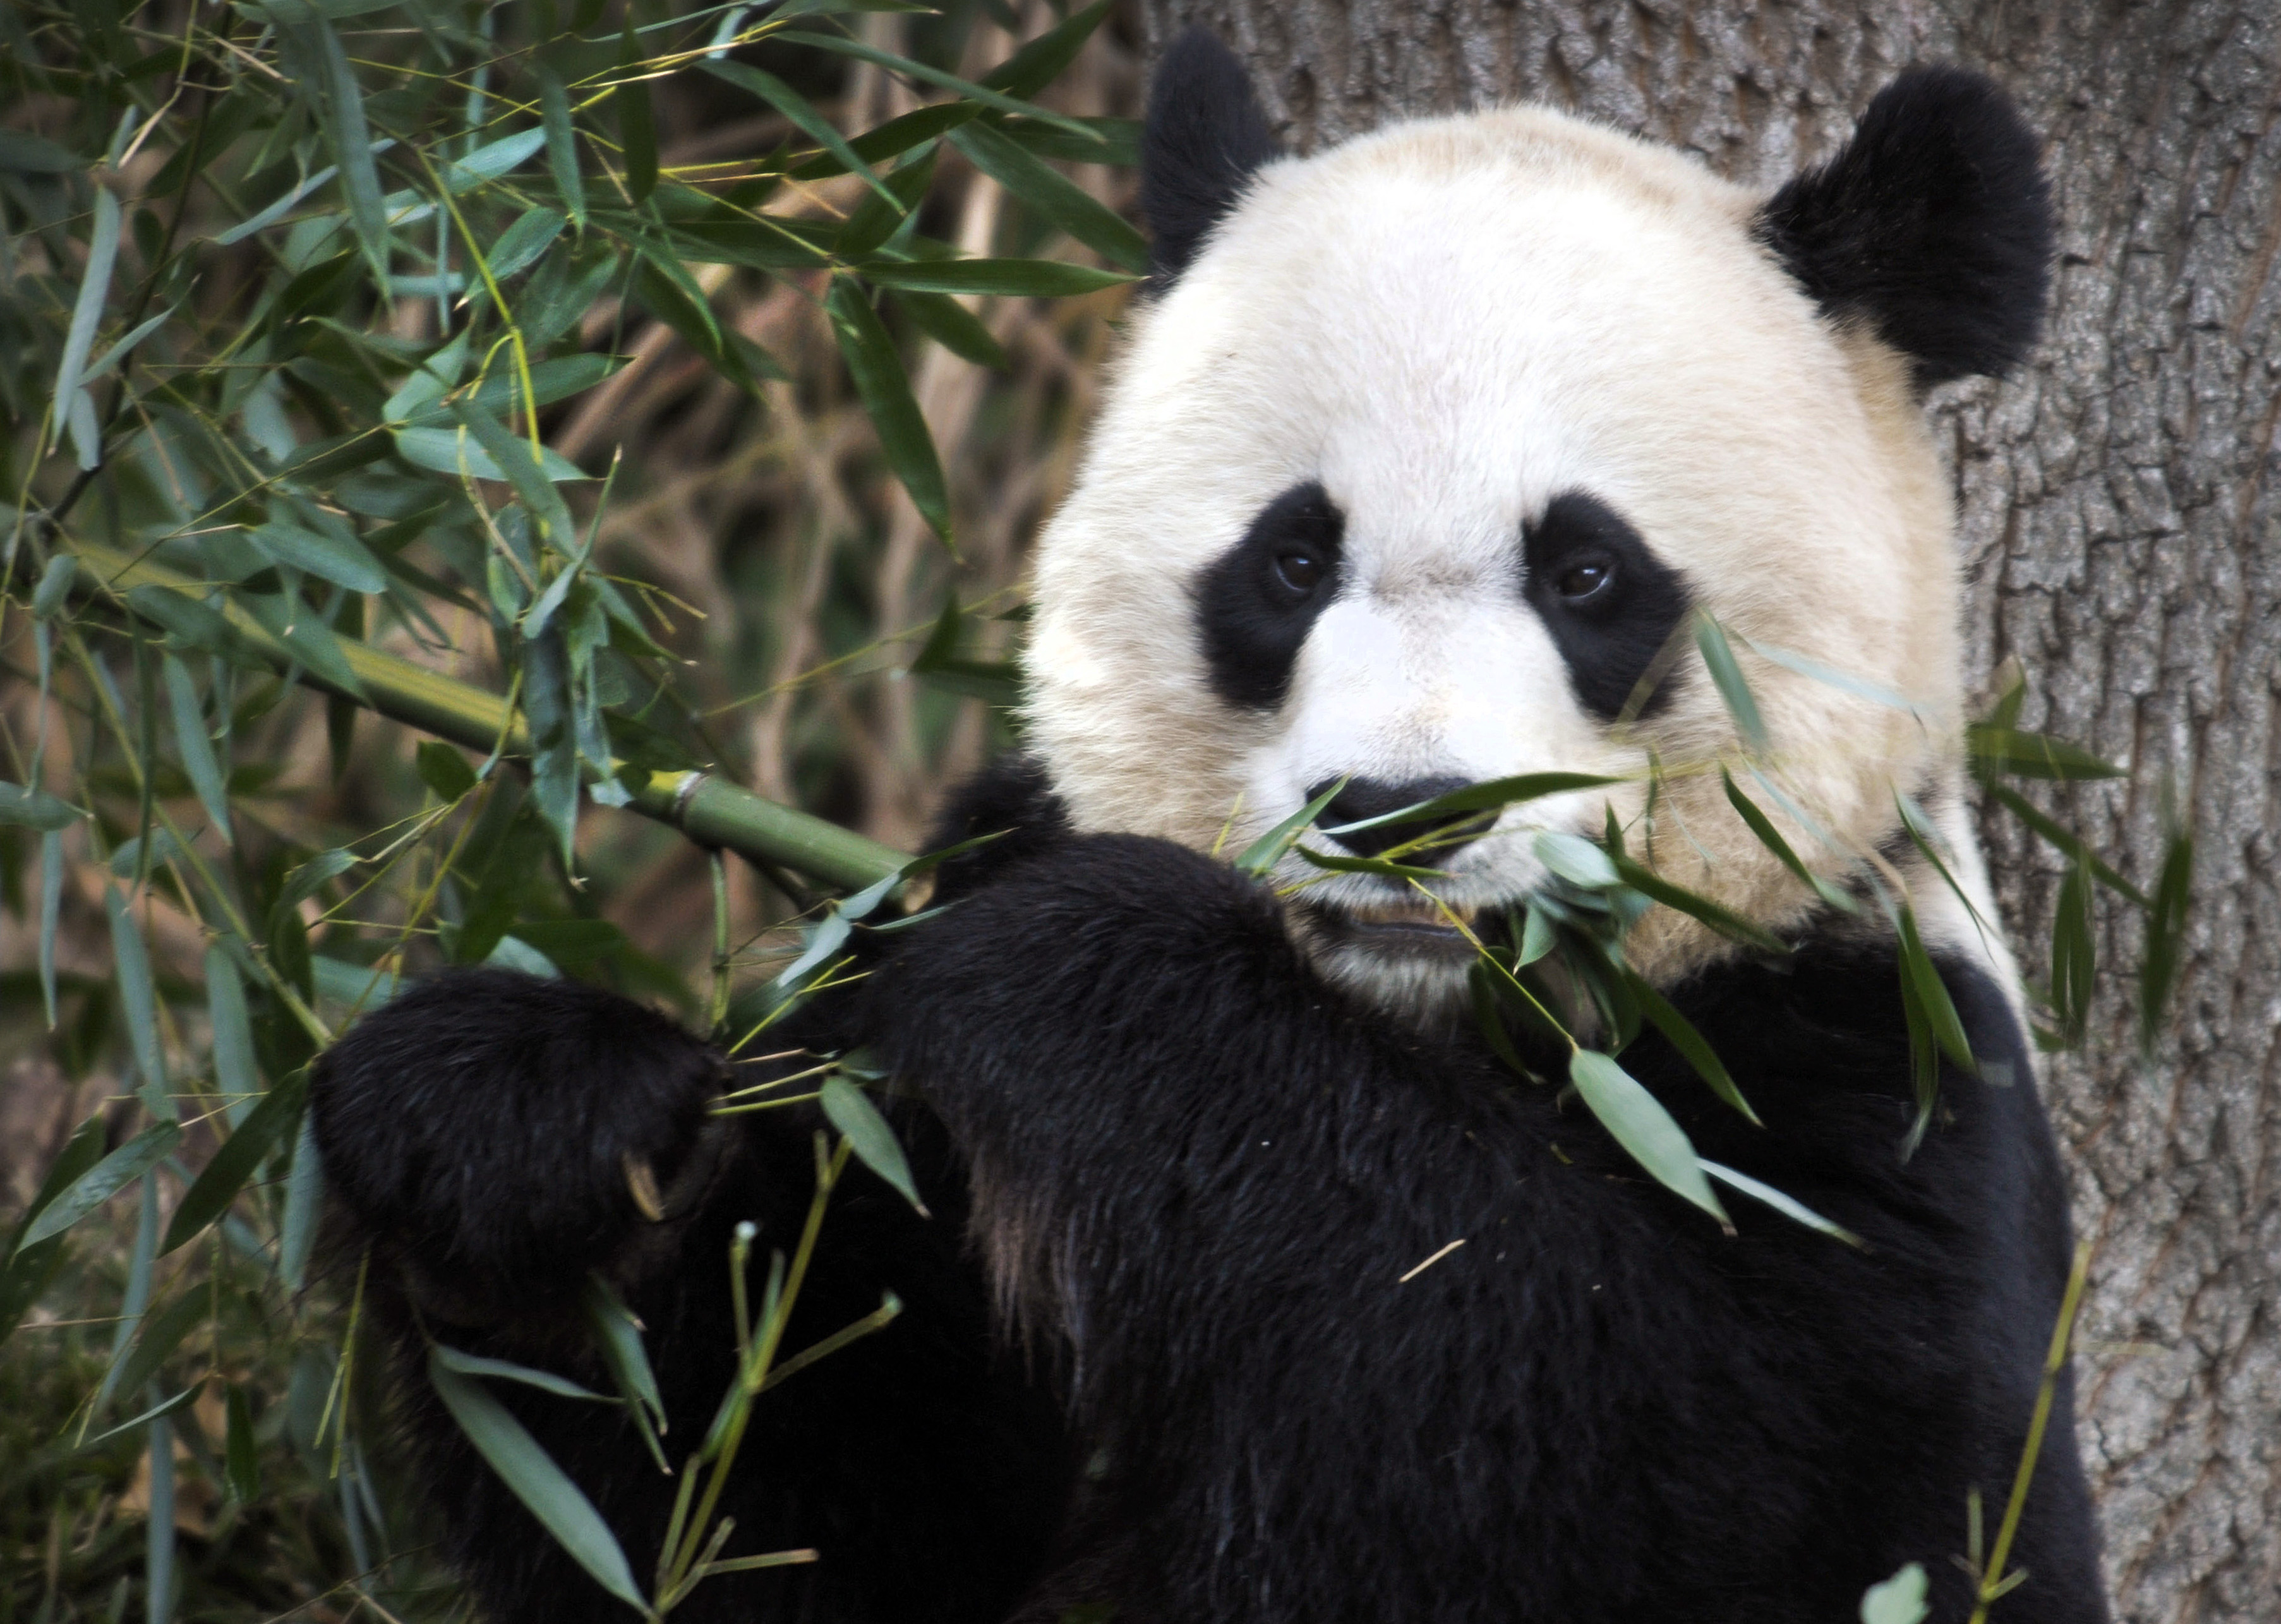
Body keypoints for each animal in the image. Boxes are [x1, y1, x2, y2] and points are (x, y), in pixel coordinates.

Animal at [312, 28, 2107, 1624]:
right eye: (1291, 560)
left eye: (1586, 571)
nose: (1397, 816)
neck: (1405, 1027)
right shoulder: (914, 1080)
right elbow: (753, 1507)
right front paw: (522, 1127)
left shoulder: (1870, 1060)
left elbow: (1690, 1480)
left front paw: (1093, 971)